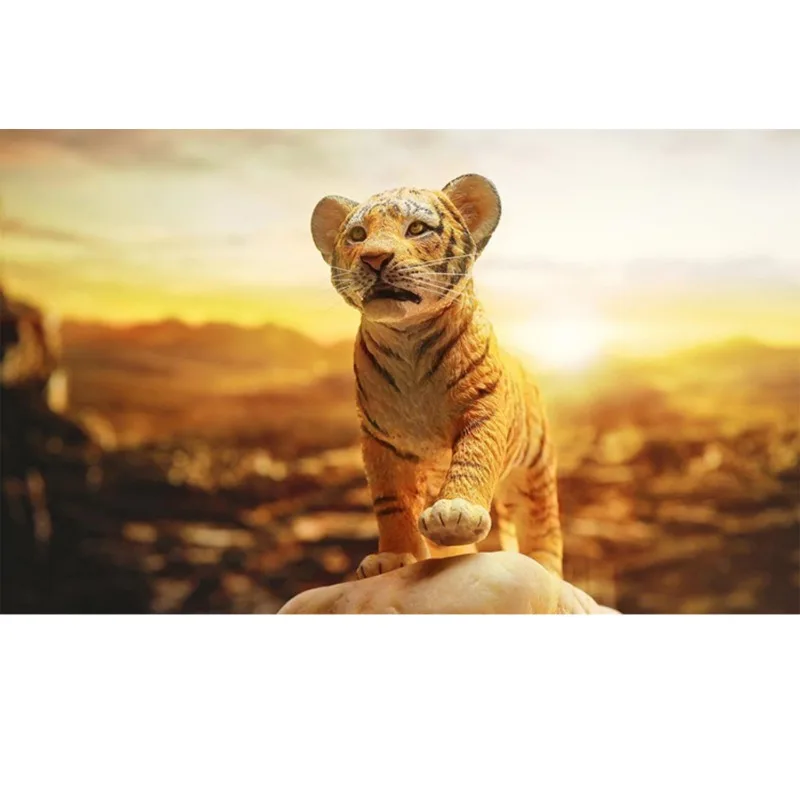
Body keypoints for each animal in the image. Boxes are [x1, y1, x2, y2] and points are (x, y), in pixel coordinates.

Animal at [310, 174, 563, 581]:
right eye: (358, 235)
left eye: (416, 228)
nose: (374, 257)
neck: (408, 339)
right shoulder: (381, 440)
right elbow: (391, 501)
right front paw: (393, 556)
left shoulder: (484, 408)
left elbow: (475, 457)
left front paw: (458, 513)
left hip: (534, 472)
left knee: (543, 523)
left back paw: (544, 566)